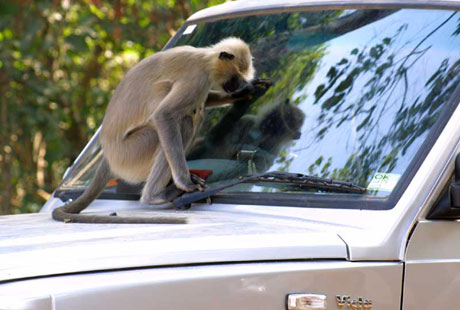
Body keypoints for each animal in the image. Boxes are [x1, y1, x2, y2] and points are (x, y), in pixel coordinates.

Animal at [52, 37, 272, 224]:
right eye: (234, 78)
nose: (237, 86)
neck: (204, 59)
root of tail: (108, 155)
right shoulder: (197, 79)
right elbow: (164, 115)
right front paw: (185, 183)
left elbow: (207, 98)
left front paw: (246, 92)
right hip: (131, 153)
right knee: (183, 119)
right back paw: (156, 195)